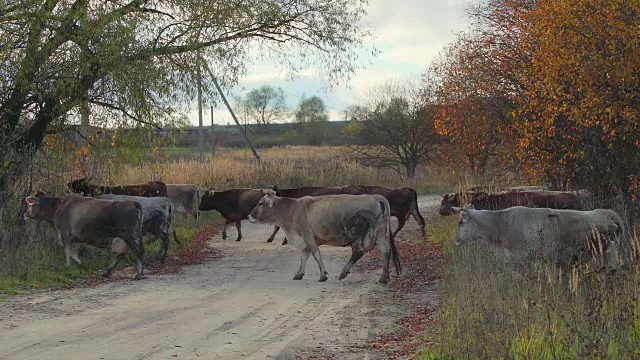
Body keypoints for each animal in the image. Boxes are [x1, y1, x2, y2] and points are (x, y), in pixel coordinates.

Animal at [246, 190, 400, 286]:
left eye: (260, 203)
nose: (249, 216)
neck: (292, 210)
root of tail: (375, 196)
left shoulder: (308, 236)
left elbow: (315, 254)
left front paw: (323, 275)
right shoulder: (307, 240)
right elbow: (304, 256)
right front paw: (299, 274)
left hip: (357, 233)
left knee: (358, 252)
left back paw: (344, 273)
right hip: (380, 233)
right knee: (385, 251)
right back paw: (383, 278)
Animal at [456, 205, 624, 270]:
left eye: (461, 222)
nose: (455, 239)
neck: (501, 223)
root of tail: (610, 214)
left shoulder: (520, 255)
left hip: (606, 245)